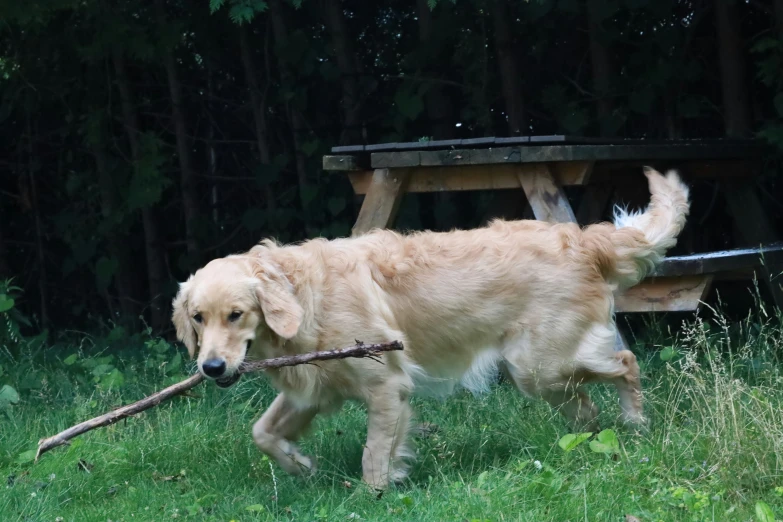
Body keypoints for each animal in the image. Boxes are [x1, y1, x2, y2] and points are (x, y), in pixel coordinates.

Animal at [173, 167, 692, 488]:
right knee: (587, 409)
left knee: (626, 361)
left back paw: (636, 423)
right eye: (198, 318)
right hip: (540, 374)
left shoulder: (386, 386)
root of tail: (582, 238)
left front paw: (372, 496)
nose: (212, 368)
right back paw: (587, 444)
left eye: (236, 314)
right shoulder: (313, 390)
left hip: (541, 364)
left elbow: (374, 454)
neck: (306, 300)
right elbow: (261, 432)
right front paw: (300, 464)